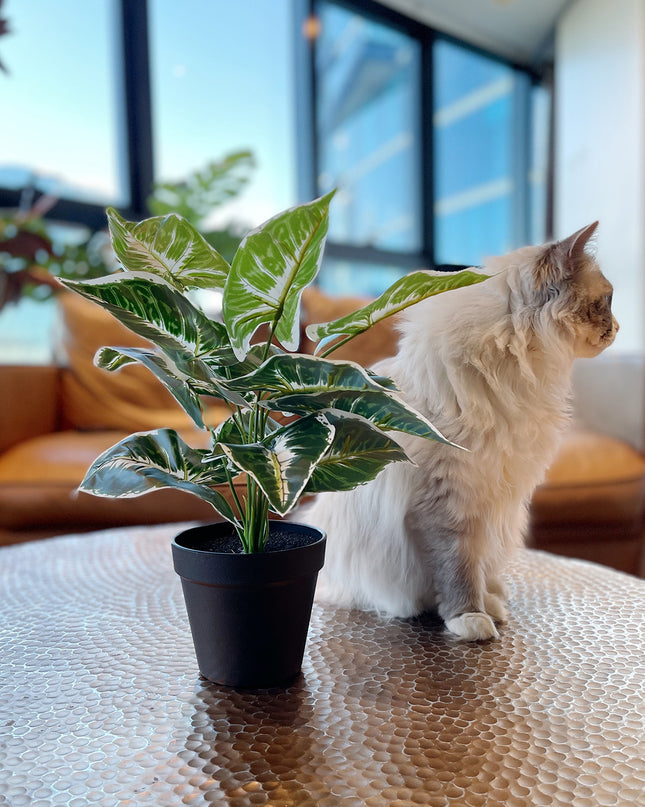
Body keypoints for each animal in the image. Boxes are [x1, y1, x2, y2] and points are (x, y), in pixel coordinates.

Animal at [304, 224, 616, 640]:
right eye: (605, 302)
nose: (618, 328)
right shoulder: (450, 503)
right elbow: (458, 569)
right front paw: (469, 618)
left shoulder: (492, 500)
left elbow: (477, 567)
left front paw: (488, 608)